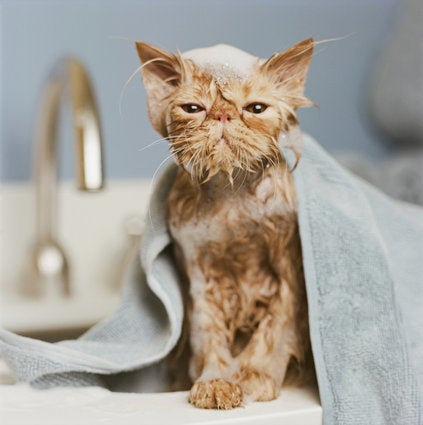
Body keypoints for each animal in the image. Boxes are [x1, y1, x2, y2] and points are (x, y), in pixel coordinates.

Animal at [136, 39, 314, 408]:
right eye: (193, 108)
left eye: (256, 108)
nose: (222, 114)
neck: (232, 200)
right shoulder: (200, 278)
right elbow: (209, 336)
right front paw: (216, 381)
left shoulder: (289, 276)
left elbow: (274, 329)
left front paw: (255, 376)